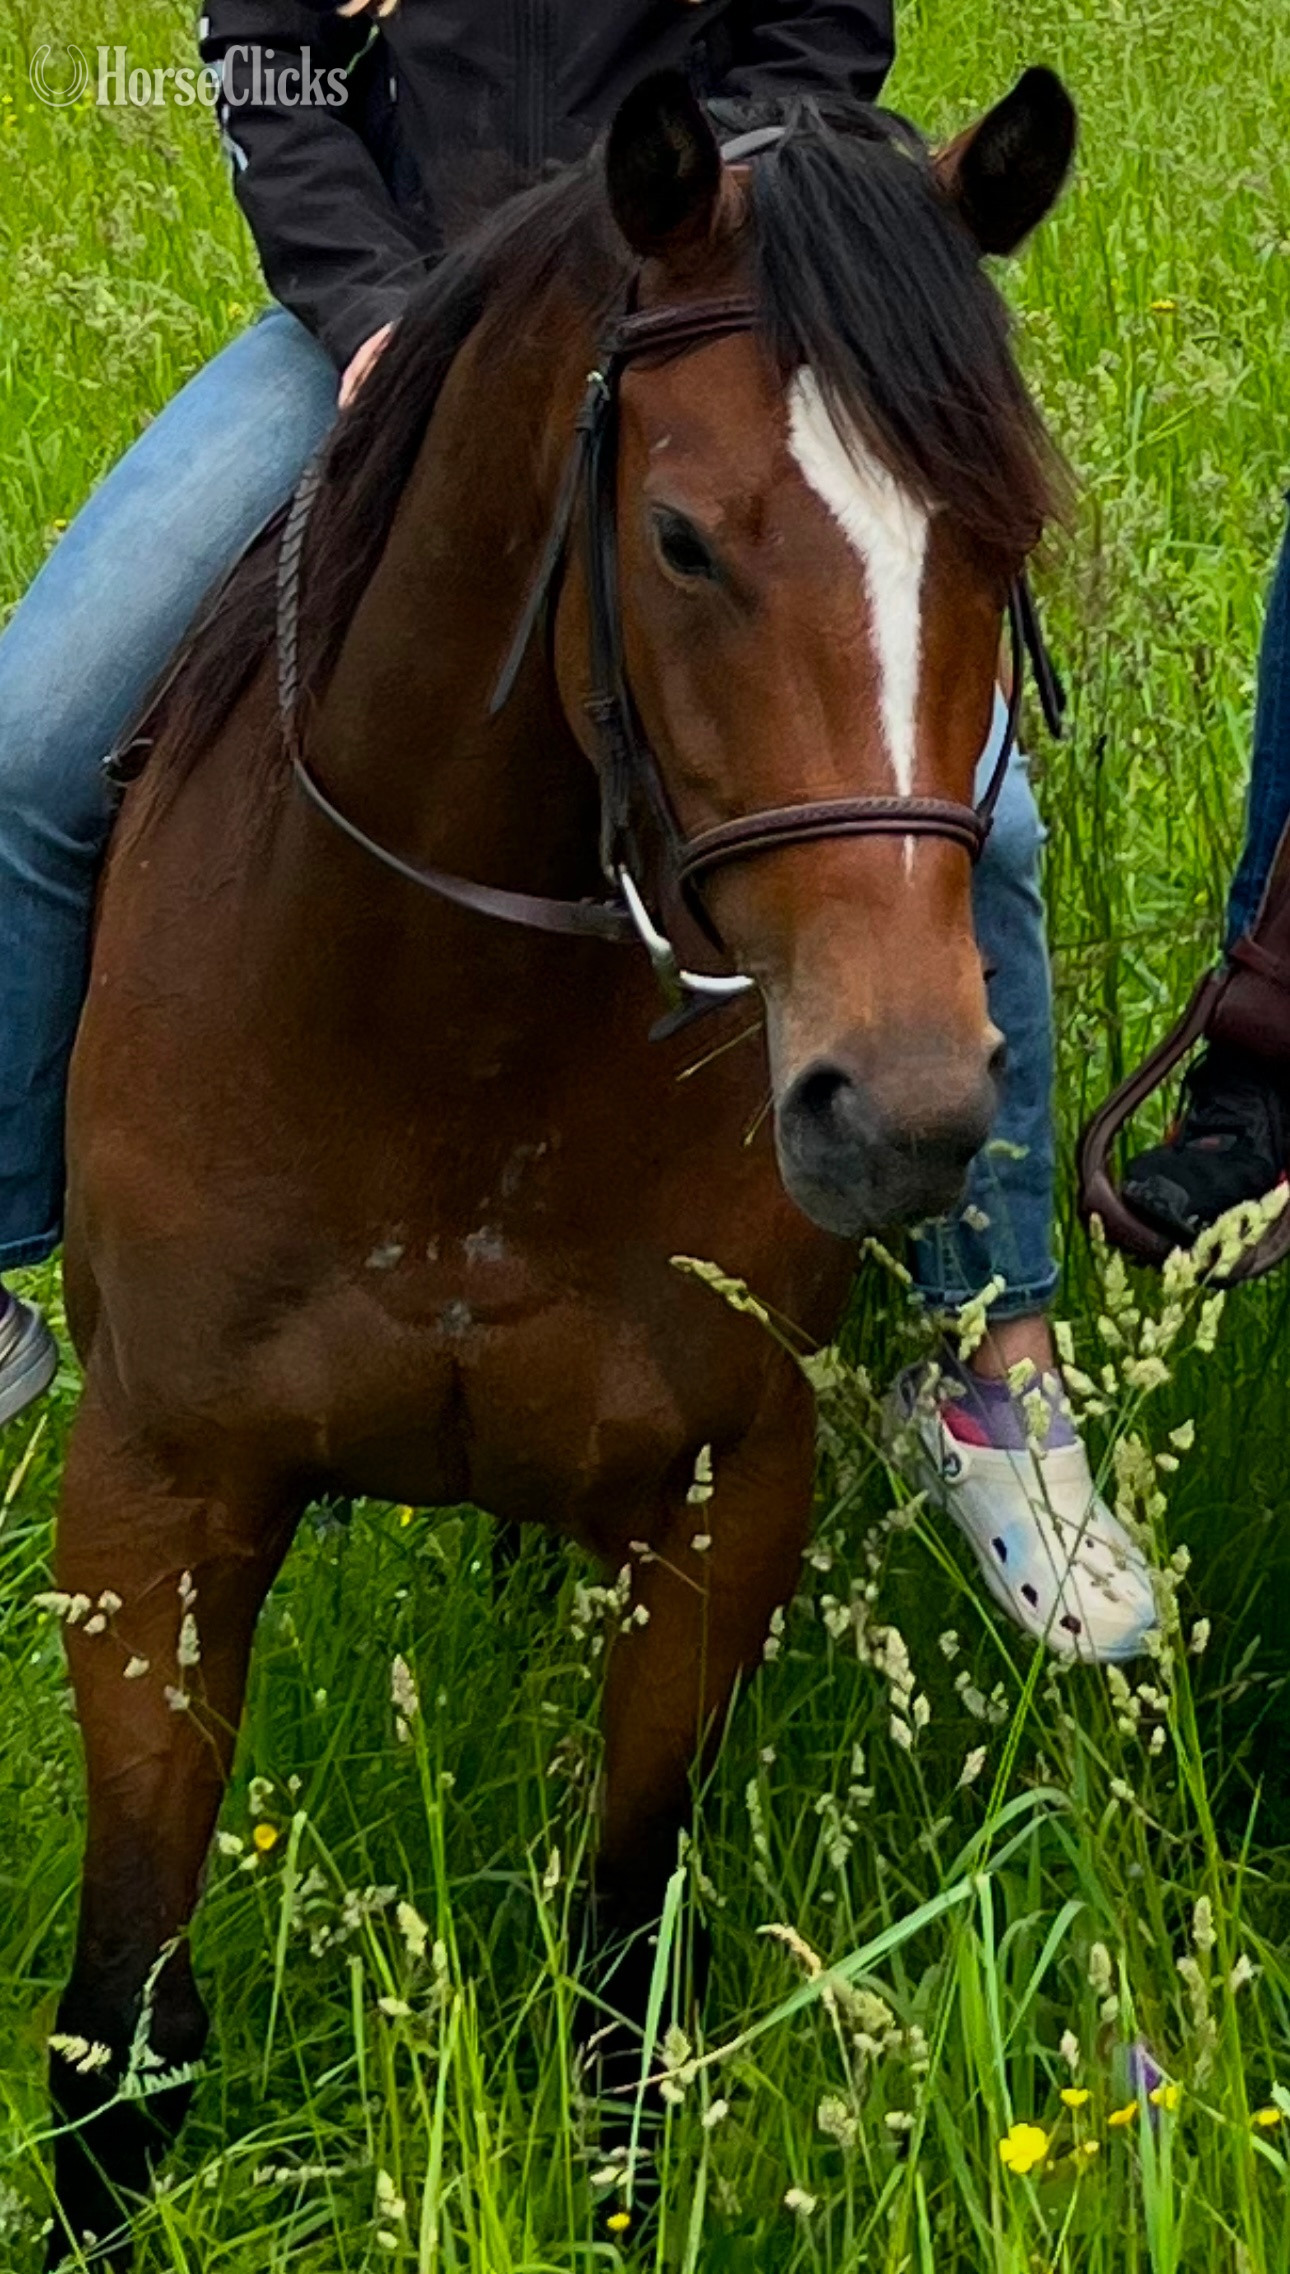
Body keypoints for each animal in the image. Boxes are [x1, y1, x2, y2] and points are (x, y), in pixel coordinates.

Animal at [45, 66, 1073, 2260]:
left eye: (1003, 531)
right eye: (679, 539)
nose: (904, 1108)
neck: (454, 1037)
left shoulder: (721, 1500)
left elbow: (620, 1981)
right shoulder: (151, 1500)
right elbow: (125, 2028)